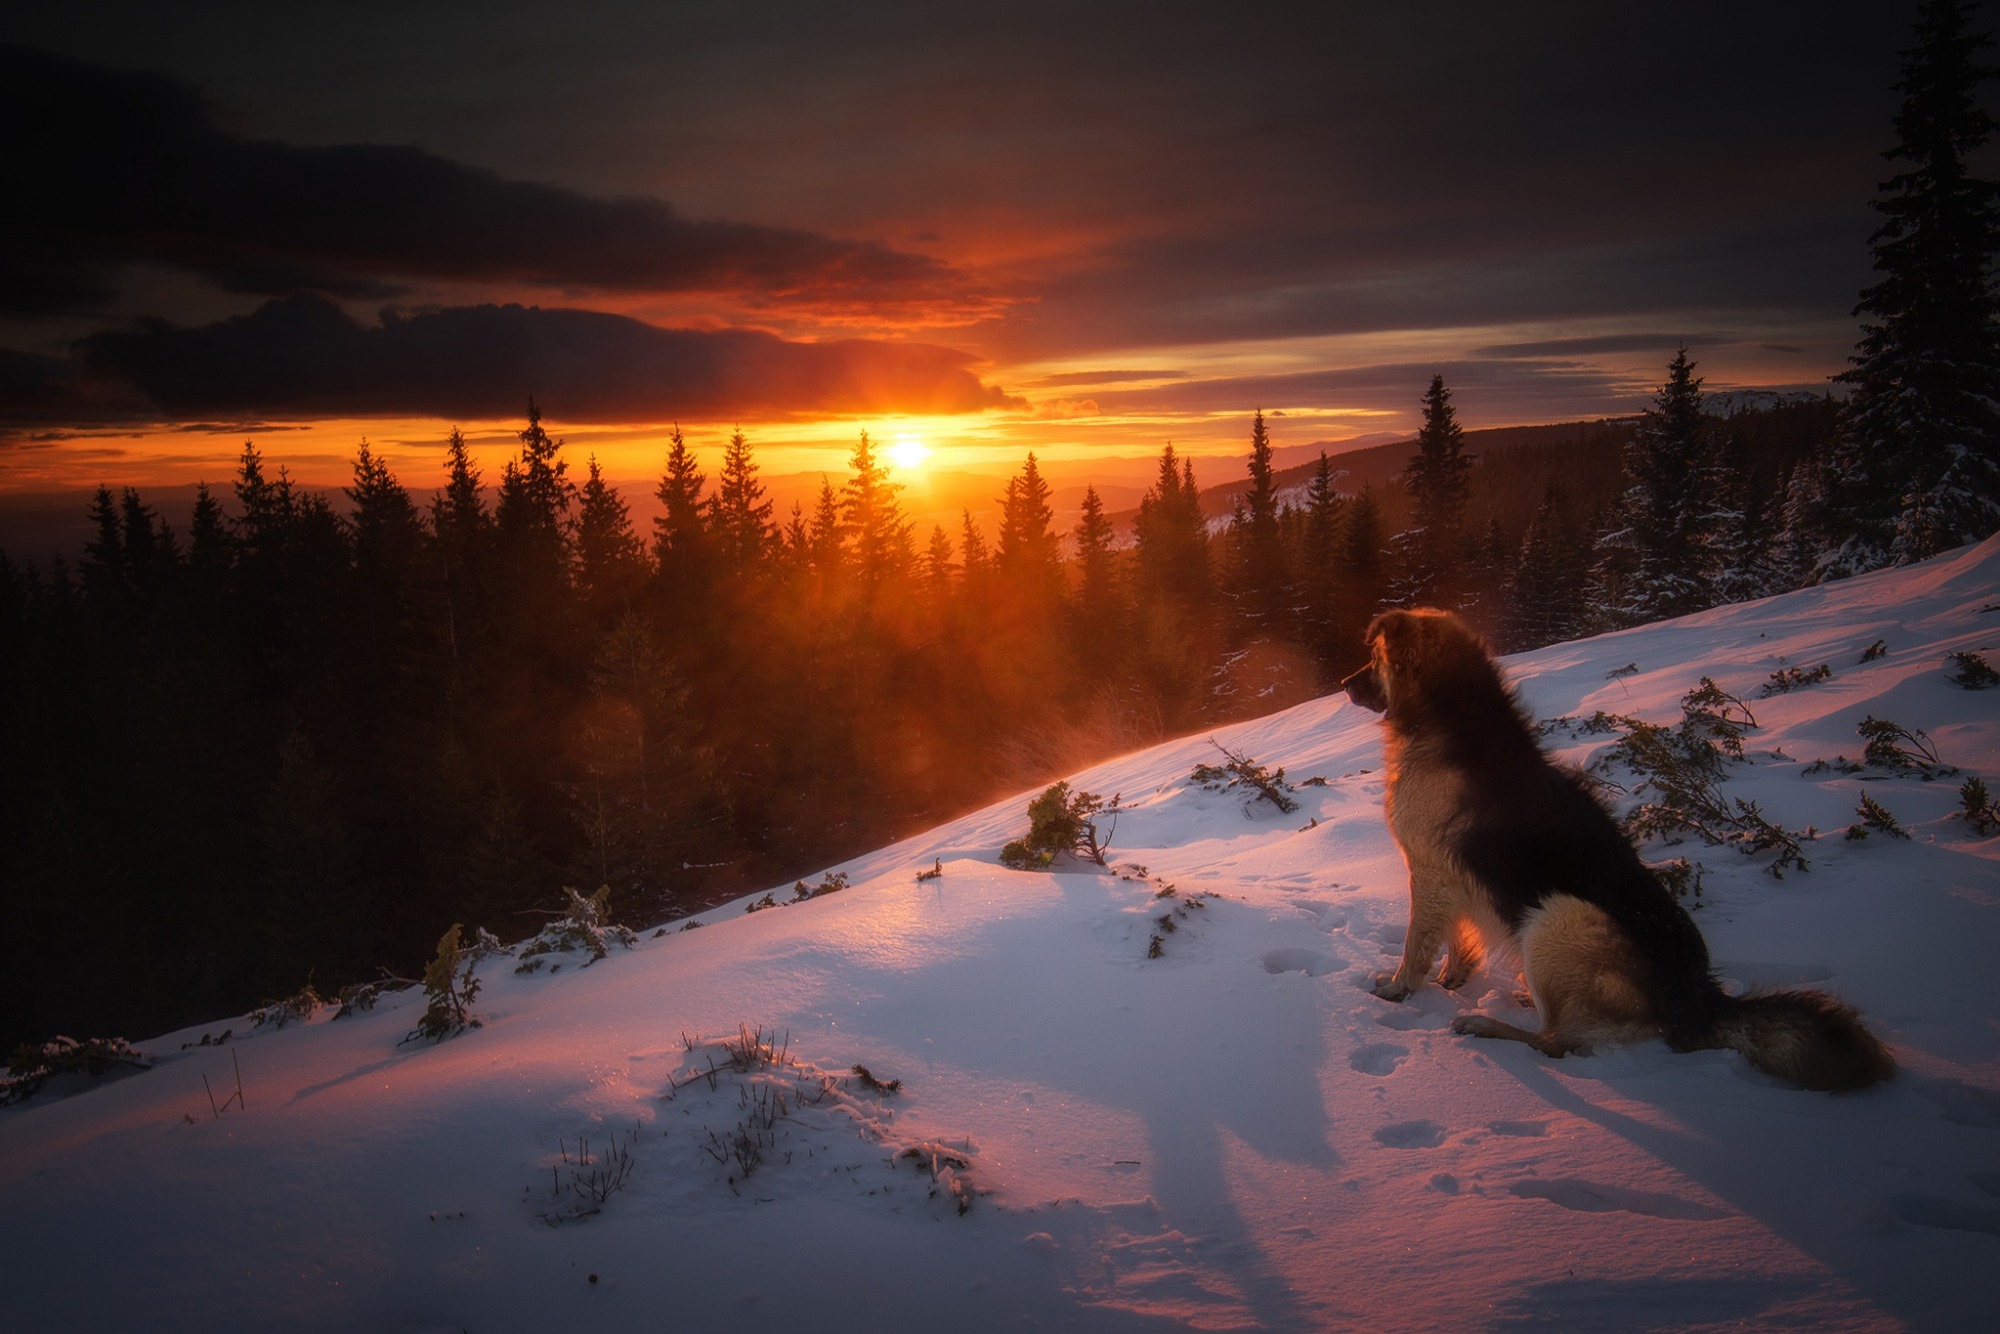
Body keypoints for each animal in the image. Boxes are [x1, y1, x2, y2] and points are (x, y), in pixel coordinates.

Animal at [1344, 612, 1888, 1088]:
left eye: (1371, 658)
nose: (1346, 684)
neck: (1449, 715)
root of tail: (1697, 996)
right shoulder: (1452, 874)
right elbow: (1458, 936)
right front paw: (1452, 979)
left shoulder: (1430, 868)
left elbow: (1418, 943)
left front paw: (1399, 989)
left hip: (1557, 916)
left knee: (1558, 1042)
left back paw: (1487, 1027)